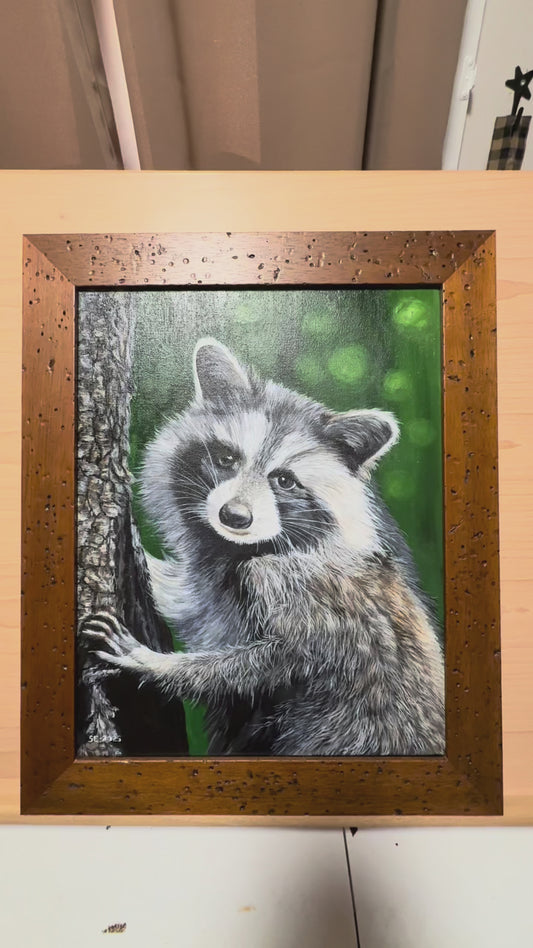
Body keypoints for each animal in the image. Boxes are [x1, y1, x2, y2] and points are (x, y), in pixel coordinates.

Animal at [85, 338, 445, 756]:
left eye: (284, 481)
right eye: (226, 458)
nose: (234, 516)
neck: (244, 548)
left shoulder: (306, 590)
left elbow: (272, 663)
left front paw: (152, 663)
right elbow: (191, 601)